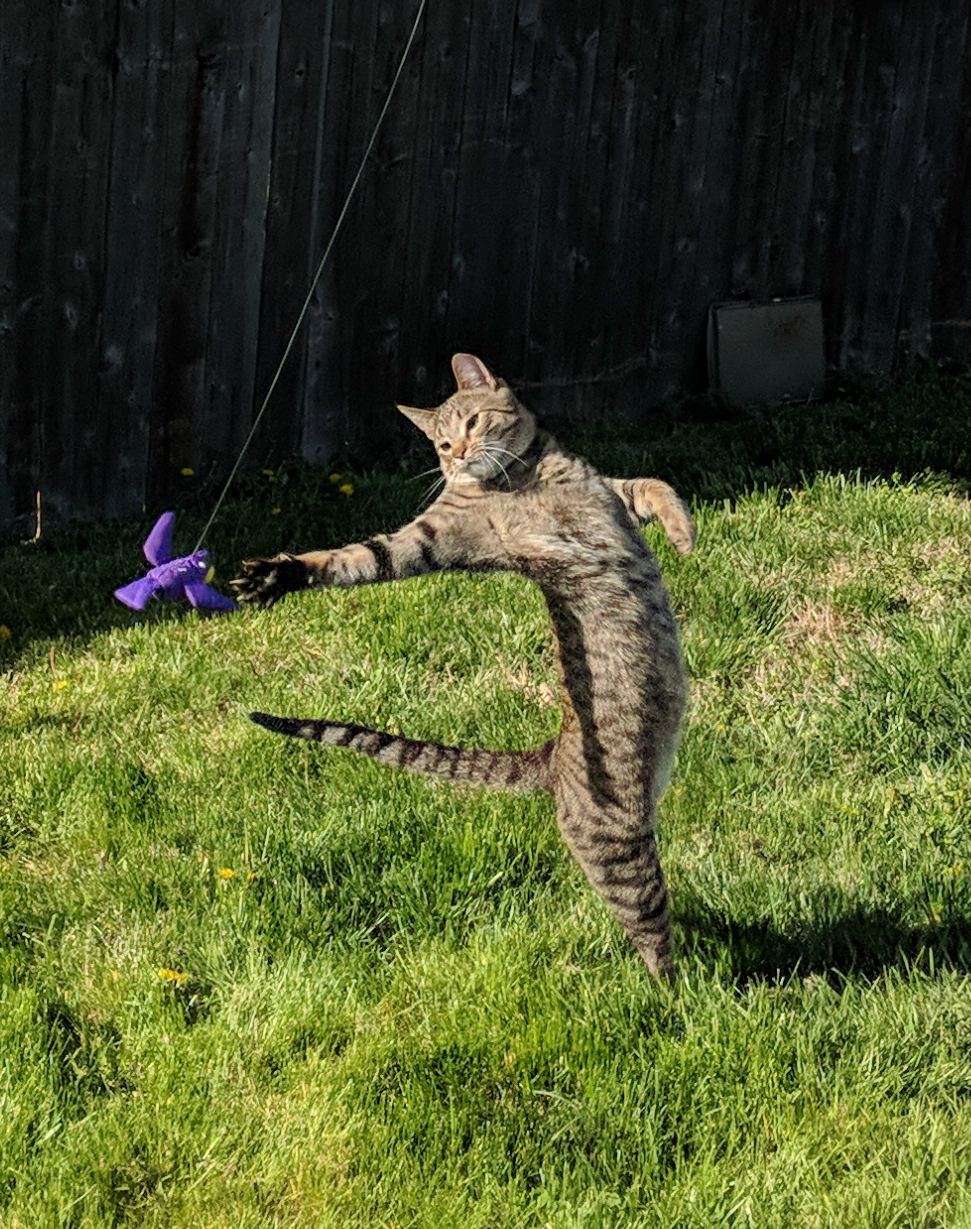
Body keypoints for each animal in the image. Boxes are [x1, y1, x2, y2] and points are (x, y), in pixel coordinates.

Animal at [232, 356, 698, 978]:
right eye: (442, 443)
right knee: (651, 938)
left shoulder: (607, 490)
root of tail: (550, 757)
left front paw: (682, 532)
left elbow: (652, 485)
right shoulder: (430, 539)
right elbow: (357, 556)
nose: (457, 458)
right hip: (618, 847)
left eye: (473, 422)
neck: (524, 473)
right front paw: (281, 573)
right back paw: (685, 993)